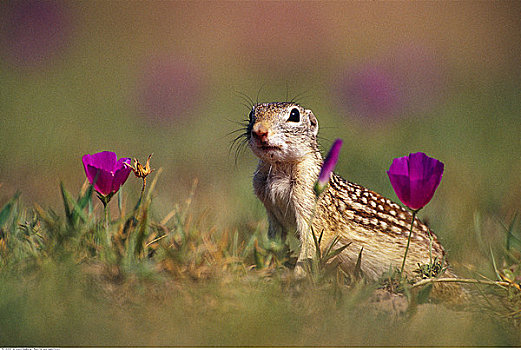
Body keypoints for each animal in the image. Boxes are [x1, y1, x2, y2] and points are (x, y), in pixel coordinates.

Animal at [242, 100, 452, 282]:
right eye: (252, 114)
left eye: (294, 115)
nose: (259, 131)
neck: (279, 169)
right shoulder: (272, 212)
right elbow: (276, 243)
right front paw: (271, 269)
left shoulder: (312, 203)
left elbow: (310, 245)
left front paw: (295, 277)